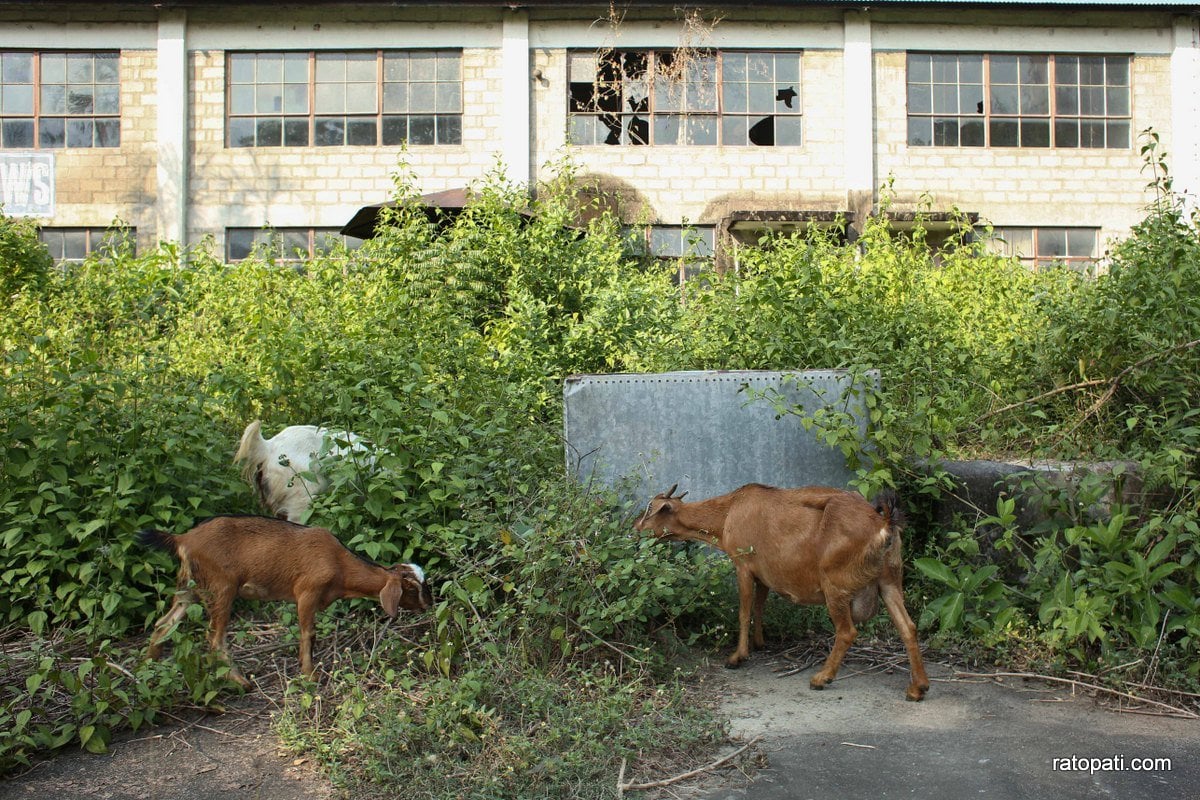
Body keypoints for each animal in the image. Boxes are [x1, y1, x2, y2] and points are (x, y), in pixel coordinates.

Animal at [140, 520, 432, 690]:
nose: (428, 604)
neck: (339, 564)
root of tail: (183, 539)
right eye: (411, 588)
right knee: (215, 638)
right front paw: (309, 675)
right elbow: (308, 634)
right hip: (222, 587)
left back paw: (150, 667)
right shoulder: (306, 593)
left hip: (189, 587)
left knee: (164, 623)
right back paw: (240, 682)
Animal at [633, 482, 931, 700]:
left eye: (650, 508)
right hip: (890, 581)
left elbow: (743, 611)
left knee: (847, 631)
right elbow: (759, 606)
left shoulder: (743, 564)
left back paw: (821, 678)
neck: (729, 512)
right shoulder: (765, 574)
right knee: (908, 627)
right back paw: (918, 688)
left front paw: (737, 657)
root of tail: (883, 526)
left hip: (834, 585)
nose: (634, 529)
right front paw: (760, 642)